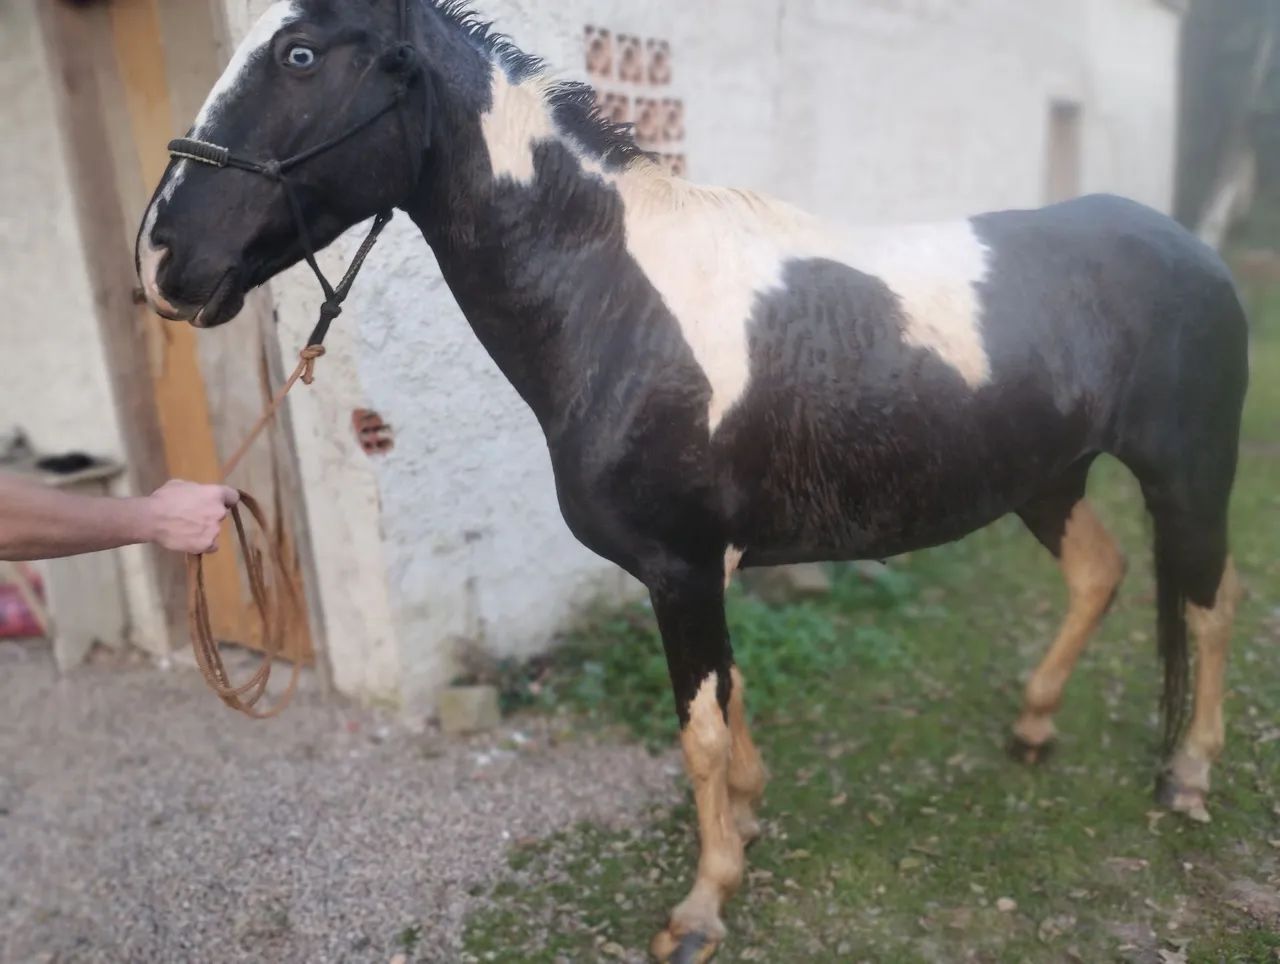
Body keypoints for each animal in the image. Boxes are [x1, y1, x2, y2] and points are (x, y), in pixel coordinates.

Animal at [136, 1, 1249, 959]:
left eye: (300, 55)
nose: (162, 257)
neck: (616, 300)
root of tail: (1193, 250)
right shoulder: (704, 566)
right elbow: (733, 700)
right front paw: (748, 820)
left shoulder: (679, 565)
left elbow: (700, 732)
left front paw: (704, 903)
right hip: (1046, 479)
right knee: (1101, 574)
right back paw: (1031, 724)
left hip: (1186, 474)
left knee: (1207, 603)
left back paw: (1189, 773)